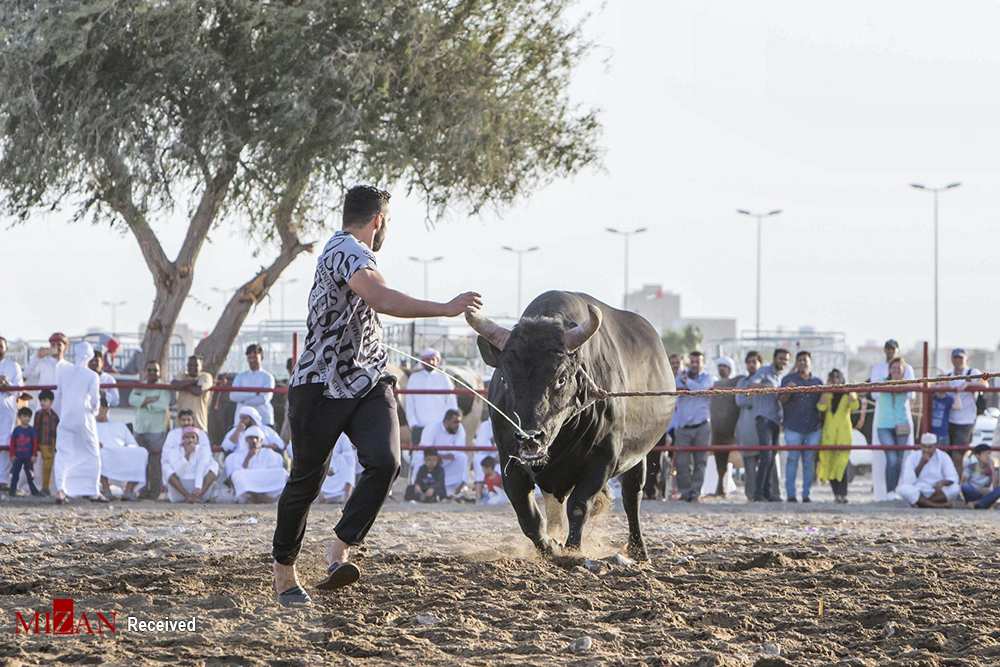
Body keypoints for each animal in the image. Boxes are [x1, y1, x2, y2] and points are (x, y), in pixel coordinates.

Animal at [466, 290, 672, 560]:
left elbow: (579, 506)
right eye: (506, 379)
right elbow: (527, 514)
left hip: (639, 456)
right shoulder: (509, 460)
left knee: (631, 497)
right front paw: (550, 547)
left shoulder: (603, 459)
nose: (530, 437)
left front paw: (572, 551)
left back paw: (639, 551)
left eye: (561, 378)